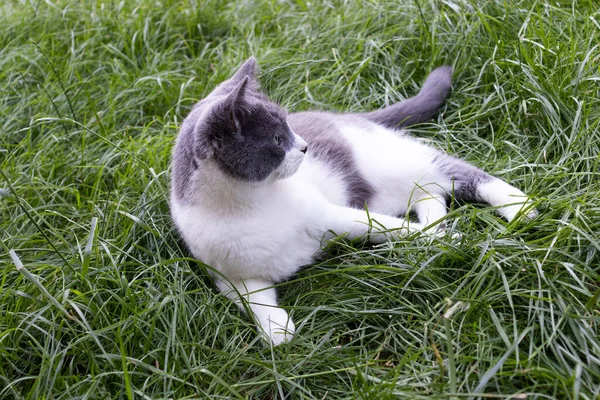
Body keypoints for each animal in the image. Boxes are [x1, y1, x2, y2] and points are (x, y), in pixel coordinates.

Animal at [170, 57, 540, 346]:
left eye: (288, 126)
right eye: (277, 138)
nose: (304, 147)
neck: (253, 204)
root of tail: (346, 116)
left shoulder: (333, 215)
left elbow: (393, 229)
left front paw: (445, 240)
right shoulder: (230, 277)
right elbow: (254, 300)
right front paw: (277, 331)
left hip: (392, 164)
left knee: (457, 173)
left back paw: (519, 208)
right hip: (388, 191)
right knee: (429, 193)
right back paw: (435, 223)